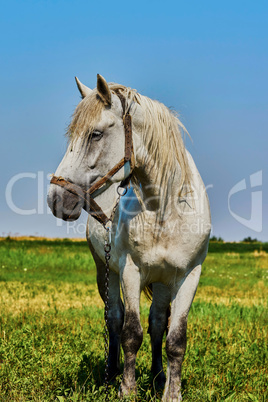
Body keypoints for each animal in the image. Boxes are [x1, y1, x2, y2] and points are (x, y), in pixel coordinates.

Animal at [48, 74, 211, 400]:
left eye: (96, 134)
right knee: (114, 318)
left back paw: (158, 377)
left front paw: (171, 392)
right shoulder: (129, 272)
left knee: (158, 323)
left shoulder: (189, 275)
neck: (165, 210)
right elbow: (130, 333)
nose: (56, 199)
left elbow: (175, 338)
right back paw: (111, 374)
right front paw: (127, 388)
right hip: (105, 271)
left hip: (162, 281)